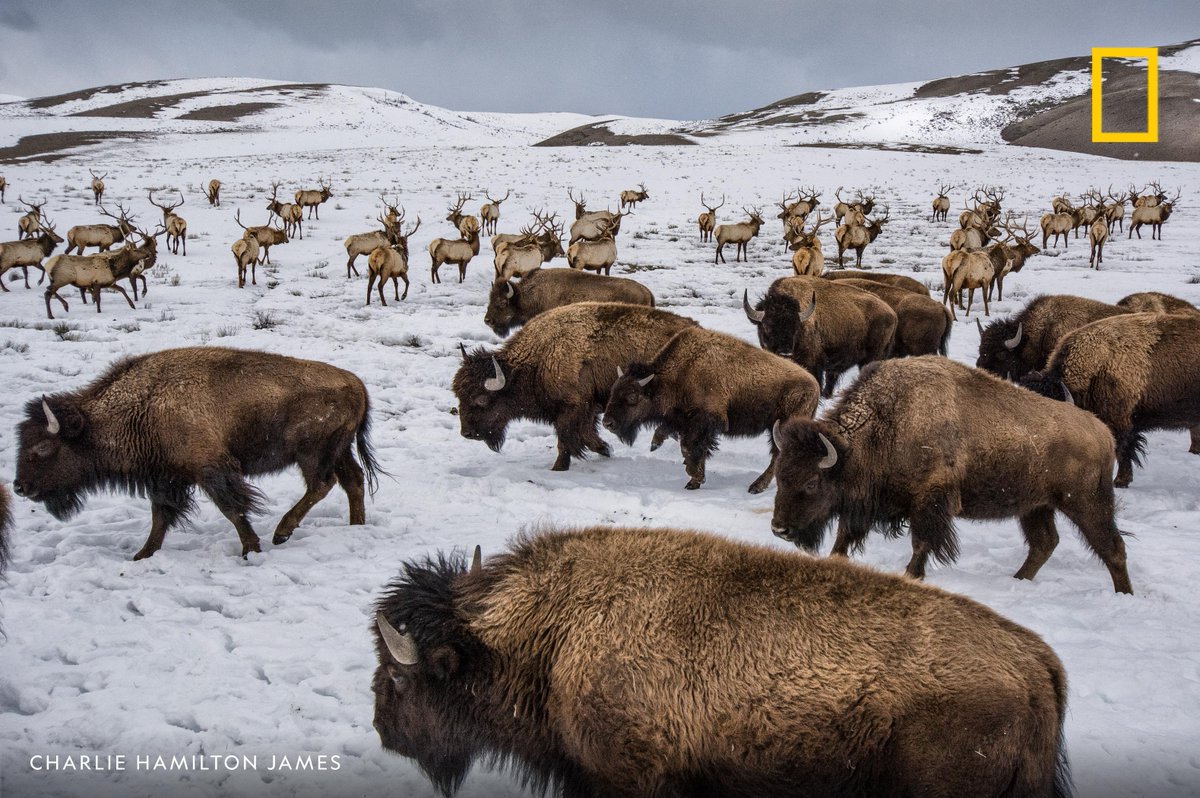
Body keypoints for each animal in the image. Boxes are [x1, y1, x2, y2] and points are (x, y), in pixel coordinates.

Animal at [13, 347, 379, 560]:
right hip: (338, 450)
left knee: (322, 484)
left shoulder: (211, 471)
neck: (143, 406)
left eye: (43, 448)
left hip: (312, 453)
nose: (19, 486)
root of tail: (357, 383)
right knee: (352, 481)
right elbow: (160, 517)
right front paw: (142, 556)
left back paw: (282, 532)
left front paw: (250, 549)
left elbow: (232, 509)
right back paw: (356, 526)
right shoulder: (165, 479)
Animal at [453, 302, 697, 471]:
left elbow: (565, 439)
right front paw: (605, 450)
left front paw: (559, 467)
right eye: (458, 395)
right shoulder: (585, 410)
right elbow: (587, 435)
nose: (467, 433)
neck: (538, 358)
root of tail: (695, 328)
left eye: (482, 399)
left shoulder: (572, 408)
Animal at [601, 327, 819, 492]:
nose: (607, 422)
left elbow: (690, 446)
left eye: (632, 397)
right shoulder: (682, 420)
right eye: (613, 391)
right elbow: (675, 436)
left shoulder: (706, 420)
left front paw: (694, 476)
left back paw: (756, 487)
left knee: (777, 456)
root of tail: (814, 384)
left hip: (782, 427)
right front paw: (658, 447)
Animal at [772, 356, 1133, 593]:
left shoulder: (929, 502)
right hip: (1035, 507)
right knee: (1044, 543)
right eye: (780, 475)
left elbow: (921, 543)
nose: (779, 529)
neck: (888, 421)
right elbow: (844, 535)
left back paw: (1124, 594)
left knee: (1112, 547)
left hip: (1085, 504)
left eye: (811, 482)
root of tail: (1102, 432)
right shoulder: (866, 503)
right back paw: (1017, 580)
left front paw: (911, 577)